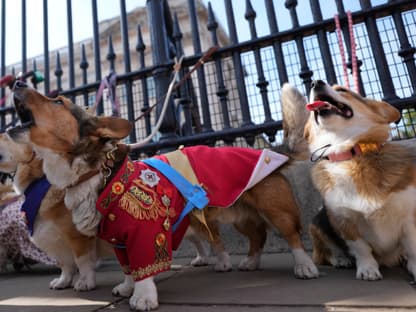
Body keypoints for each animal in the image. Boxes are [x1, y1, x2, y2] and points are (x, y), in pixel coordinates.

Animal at [0, 132, 104, 290]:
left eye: (6, 136)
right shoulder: (55, 238)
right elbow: (65, 264)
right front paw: (63, 281)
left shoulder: (78, 235)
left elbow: (83, 261)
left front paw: (85, 282)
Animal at [302, 80, 416, 280]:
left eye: (342, 89)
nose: (315, 82)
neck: (351, 154)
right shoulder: (344, 221)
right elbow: (361, 248)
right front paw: (368, 269)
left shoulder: (409, 218)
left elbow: (412, 247)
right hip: (316, 224)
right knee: (325, 253)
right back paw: (341, 260)